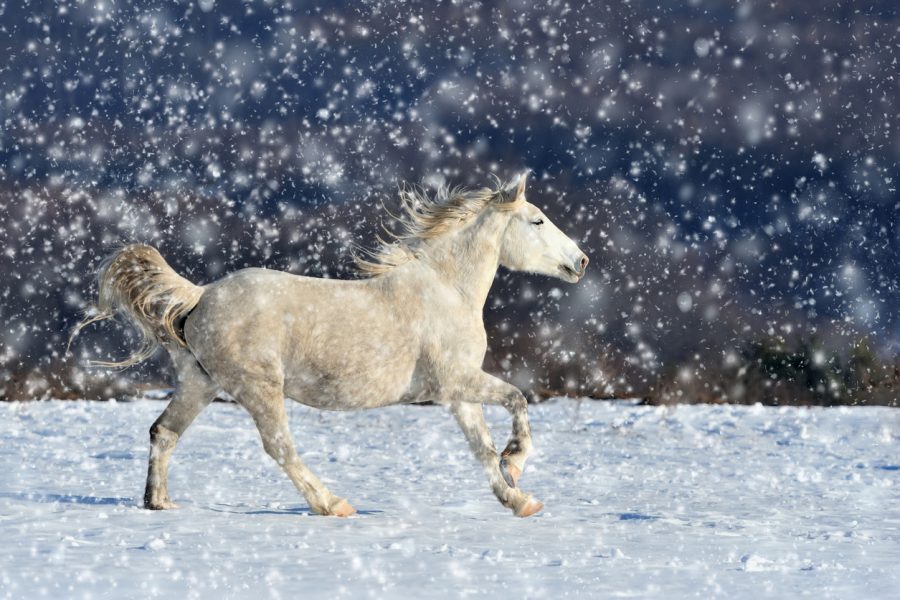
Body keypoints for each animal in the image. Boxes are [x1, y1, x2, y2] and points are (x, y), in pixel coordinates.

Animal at [74, 172, 588, 516]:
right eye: (537, 221)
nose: (581, 261)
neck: (446, 289)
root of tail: (200, 296)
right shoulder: (457, 380)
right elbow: (518, 400)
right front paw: (516, 464)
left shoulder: (456, 394)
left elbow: (482, 448)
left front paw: (519, 498)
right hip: (258, 387)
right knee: (279, 446)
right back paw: (333, 504)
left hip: (201, 383)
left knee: (164, 432)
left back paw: (160, 503)